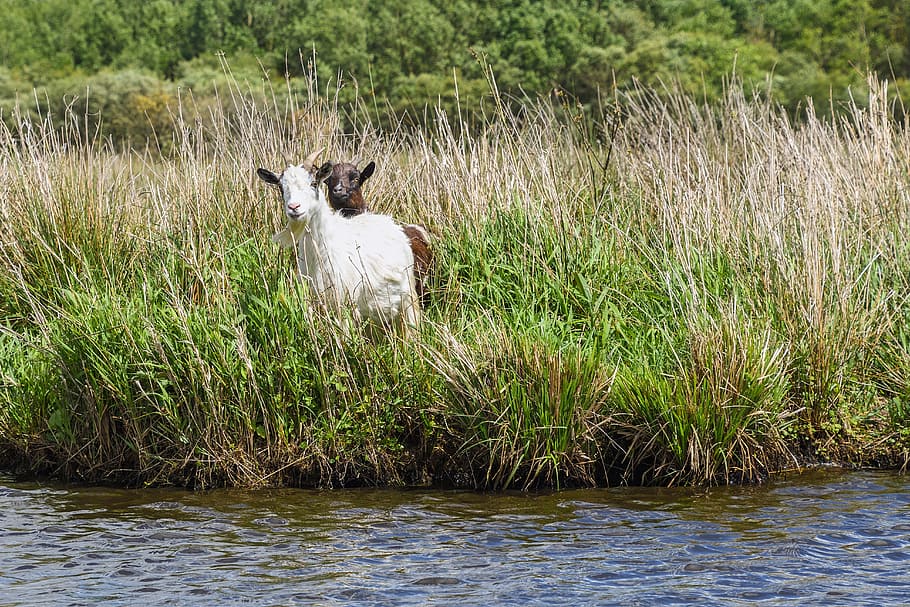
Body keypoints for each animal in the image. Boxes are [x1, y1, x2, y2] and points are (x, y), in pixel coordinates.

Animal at [257, 150, 420, 332]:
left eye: (314, 183)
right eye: (280, 187)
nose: (294, 207)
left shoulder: (345, 303)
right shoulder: (314, 302)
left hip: (408, 297)